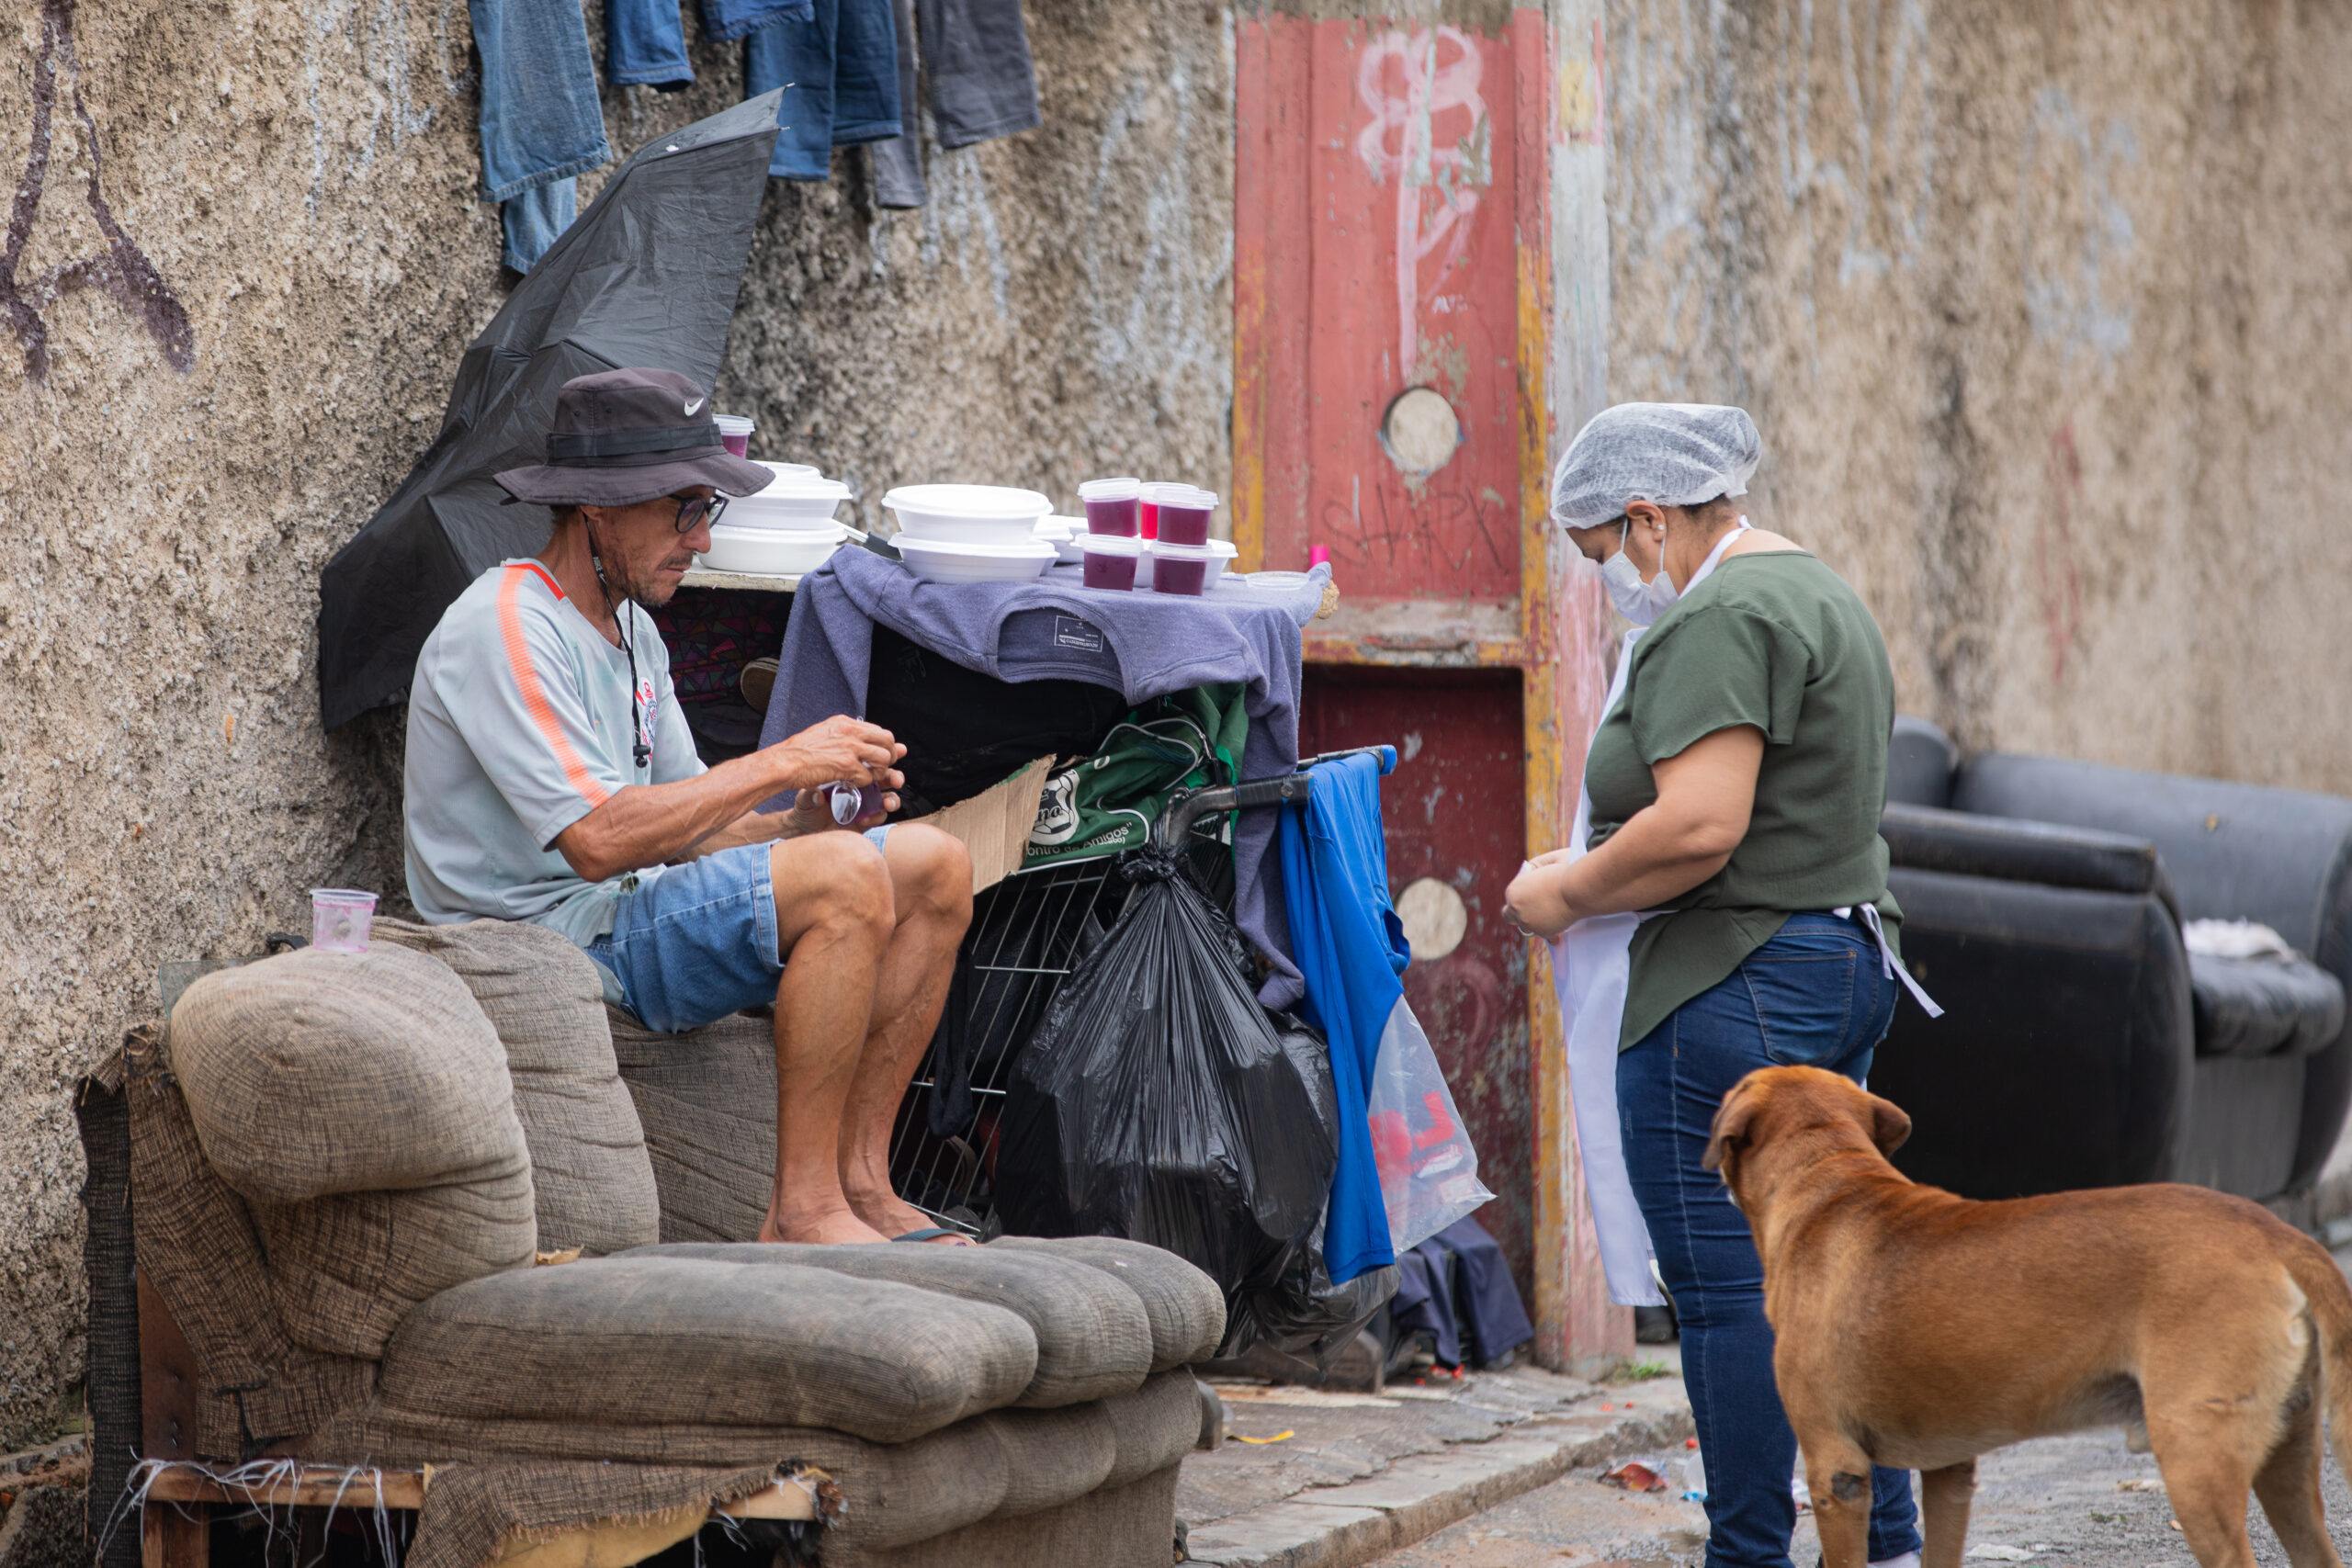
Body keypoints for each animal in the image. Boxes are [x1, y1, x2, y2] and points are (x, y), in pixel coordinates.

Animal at [1712, 1072, 2352, 1568]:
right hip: (2289, 1463)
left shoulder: (1836, 1473)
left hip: (2197, 1461)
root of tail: (2278, 1233)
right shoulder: (1950, 1472)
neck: (1828, 1182)